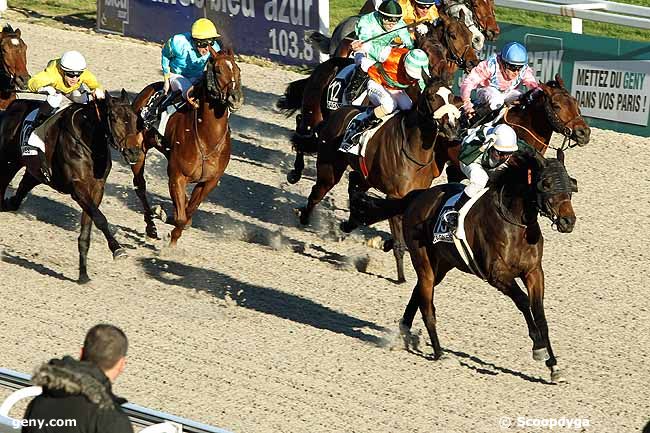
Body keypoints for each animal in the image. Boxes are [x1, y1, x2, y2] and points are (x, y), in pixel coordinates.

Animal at [0, 89, 142, 282]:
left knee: (15, 198)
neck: (88, 141)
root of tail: (9, 109)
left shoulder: (96, 189)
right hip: (8, 163)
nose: (134, 152)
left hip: (33, 173)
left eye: (135, 118)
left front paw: (83, 274)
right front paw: (117, 249)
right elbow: (100, 219)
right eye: (113, 117)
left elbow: (88, 228)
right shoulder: (77, 188)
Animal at [130, 47, 242, 245]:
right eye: (218, 70)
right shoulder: (177, 176)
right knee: (140, 185)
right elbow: (182, 217)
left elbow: (188, 212)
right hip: (139, 151)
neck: (207, 139)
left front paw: (171, 217)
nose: (235, 98)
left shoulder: (209, 182)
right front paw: (171, 239)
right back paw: (151, 226)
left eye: (238, 69)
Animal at [298, 77, 460, 280]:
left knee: (354, 183)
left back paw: (351, 221)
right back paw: (305, 216)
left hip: (365, 175)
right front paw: (401, 276)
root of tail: (336, 114)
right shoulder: (395, 195)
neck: (414, 149)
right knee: (318, 192)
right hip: (330, 168)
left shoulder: (410, 197)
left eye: (452, 97)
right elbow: (399, 241)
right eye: (431, 97)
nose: (452, 128)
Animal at [350, 148, 576, 382]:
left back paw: (404, 333)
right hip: (423, 260)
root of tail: (418, 196)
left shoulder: (534, 272)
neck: (514, 223)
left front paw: (554, 366)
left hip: (442, 265)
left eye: (570, 183)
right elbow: (523, 301)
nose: (568, 221)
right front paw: (538, 347)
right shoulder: (497, 274)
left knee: (418, 293)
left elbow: (540, 314)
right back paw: (439, 353)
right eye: (546, 183)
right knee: (427, 305)